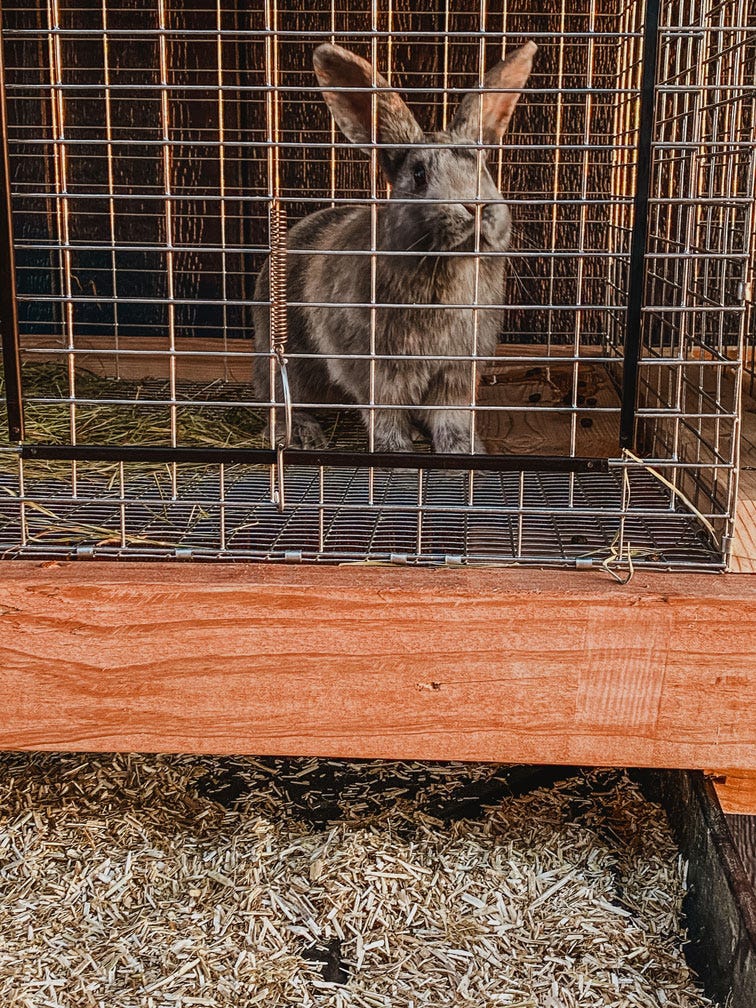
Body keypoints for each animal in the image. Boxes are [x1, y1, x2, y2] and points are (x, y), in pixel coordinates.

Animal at [255, 39, 540, 455]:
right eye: (419, 175)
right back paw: (302, 433)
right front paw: (397, 454)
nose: (475, 205)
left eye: (484, 169)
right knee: (276, 398)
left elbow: (452, 419)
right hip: (283, 359)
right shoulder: (377, 373)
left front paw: (464, 452)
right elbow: (385, 417)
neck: (448, 268)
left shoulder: (456, 373)